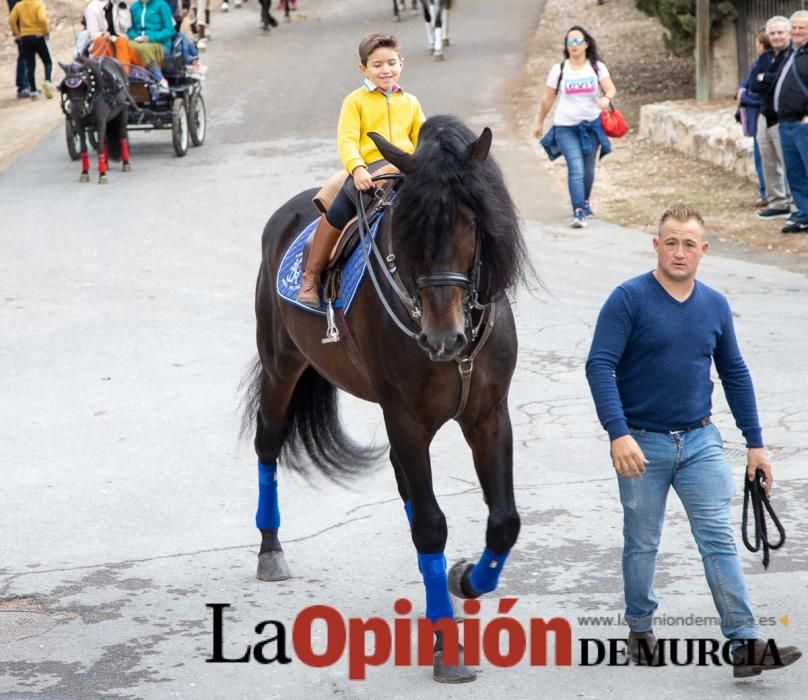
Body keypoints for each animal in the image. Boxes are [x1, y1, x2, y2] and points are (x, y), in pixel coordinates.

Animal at [58, 56, 134, 185]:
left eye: (83, 86)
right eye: (66, 88)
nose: (78, 111)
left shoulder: (100, 121)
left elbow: (100, 147)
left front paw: (102, 175)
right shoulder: (79, 123)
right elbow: (84, 148)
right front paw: (84, 173)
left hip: (123, 111)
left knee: (122, 137)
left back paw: (126, 164)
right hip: (108, 119)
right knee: (105, 140)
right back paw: (106, 164)